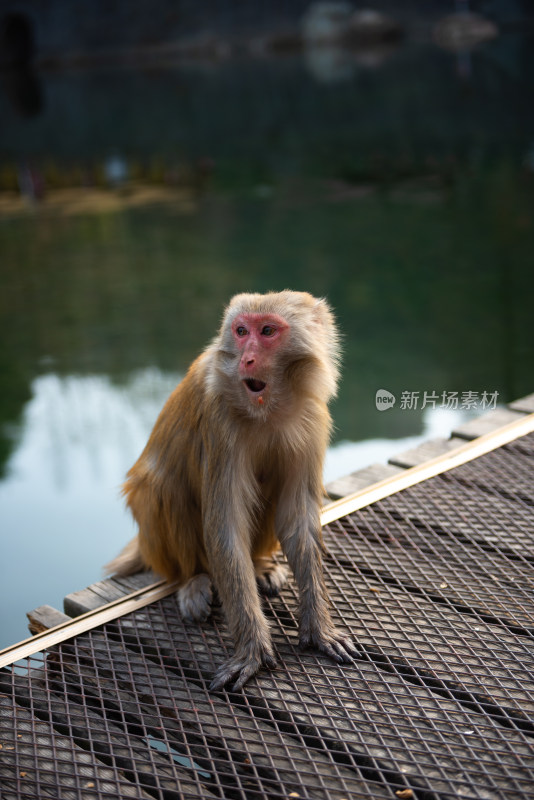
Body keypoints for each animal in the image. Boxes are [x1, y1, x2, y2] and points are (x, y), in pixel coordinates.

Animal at [105, 290, 358, 692]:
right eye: (241, 332)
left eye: (267, 331)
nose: (247, 358)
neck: (268, 409)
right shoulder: (219, 419)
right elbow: (225, 525)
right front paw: (252, 648)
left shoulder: (313, 418)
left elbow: (298, 517)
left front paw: (319, 626)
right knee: (165, 487)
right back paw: (192, 580)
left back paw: (260, 565)